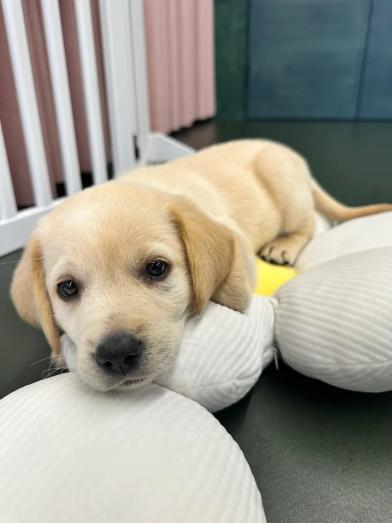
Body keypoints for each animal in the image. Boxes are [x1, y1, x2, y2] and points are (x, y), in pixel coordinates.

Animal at [10, 139, 390, 388]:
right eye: (67, 288)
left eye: (157, 268)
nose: (116, 354)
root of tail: (287, 152)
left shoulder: (237, 252)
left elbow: (233, 291)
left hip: (280, 177)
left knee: (310, 222)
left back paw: (284, 245)